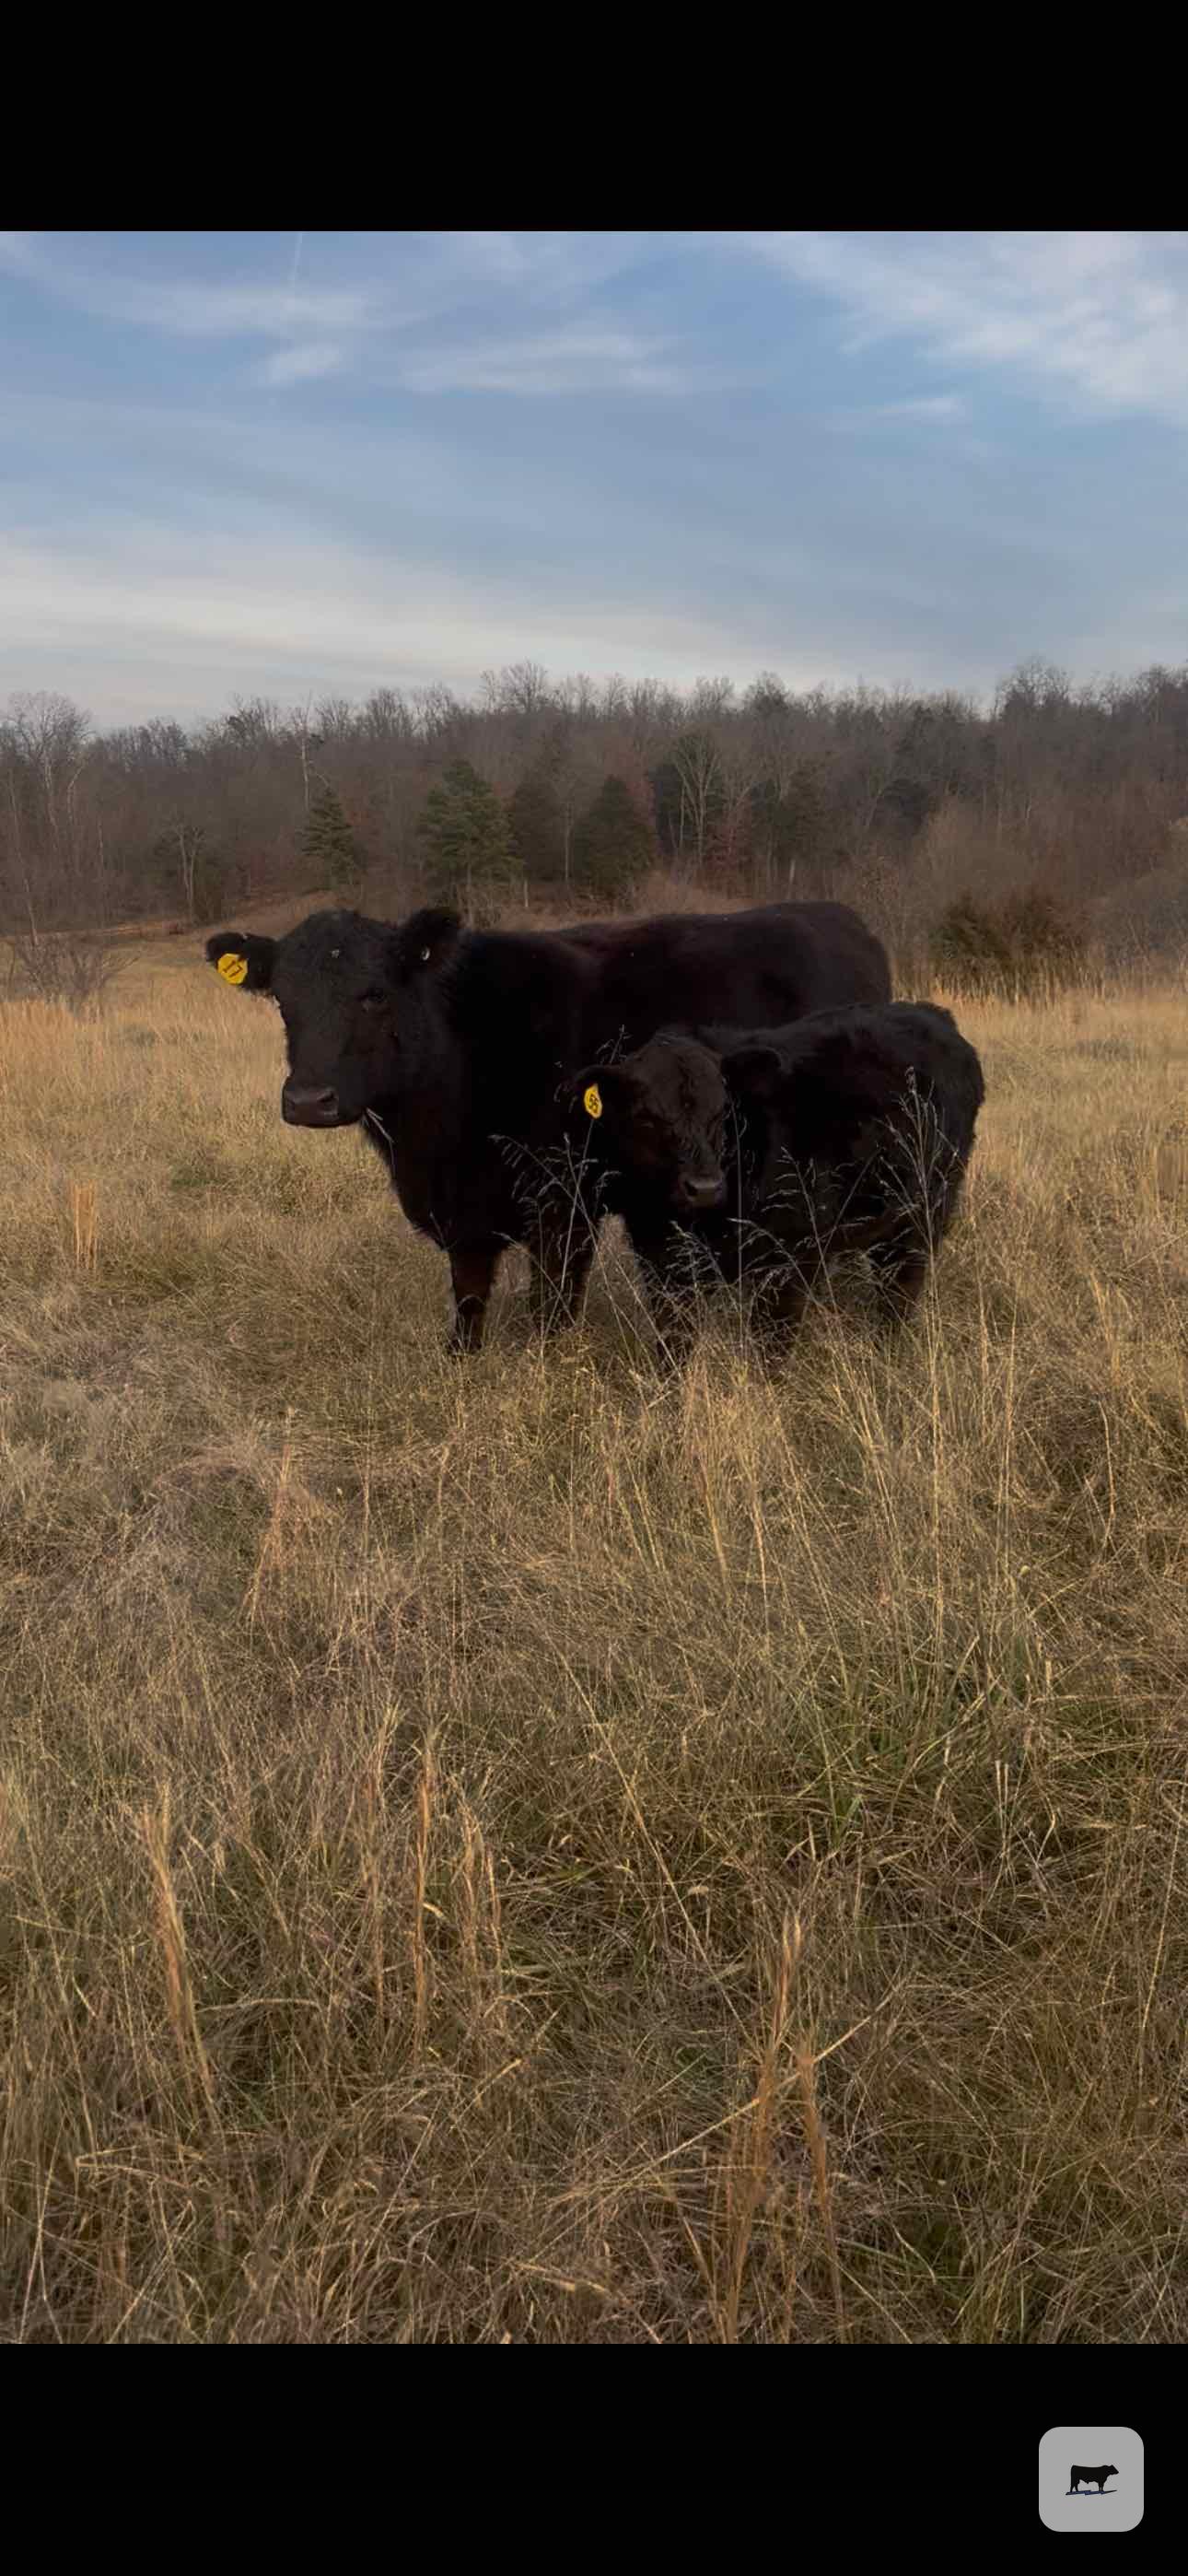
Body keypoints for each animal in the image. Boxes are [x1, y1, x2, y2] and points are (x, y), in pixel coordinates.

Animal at [205, 897, 891, 1352]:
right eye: (281, 999)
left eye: (373, 993)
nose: (308, 1099)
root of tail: (834, 914)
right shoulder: (467, 1213)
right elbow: (469, 1298)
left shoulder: (565, 1200)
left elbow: (553, 1306)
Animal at [567, 1001, 984, 1348]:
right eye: (648, 1118)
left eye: (722, 1111)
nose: (704, 1188)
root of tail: (931, 1014)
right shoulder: (661, 1259)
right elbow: (674, 1338)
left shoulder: (789, 1258)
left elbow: (773, 1343)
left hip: (921, 1219)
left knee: (898, 1291)